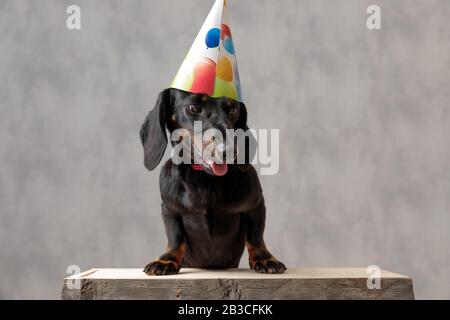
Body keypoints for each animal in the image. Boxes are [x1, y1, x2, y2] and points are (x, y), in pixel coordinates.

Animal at [140, 88, 284, 276]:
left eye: (234, 109)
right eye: (194, 107)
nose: (229, 151)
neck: (205, 178)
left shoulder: (256, 205)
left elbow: (256, 236)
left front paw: (264, 258)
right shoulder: (170, 209)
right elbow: (174, 237)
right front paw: (166, 260)